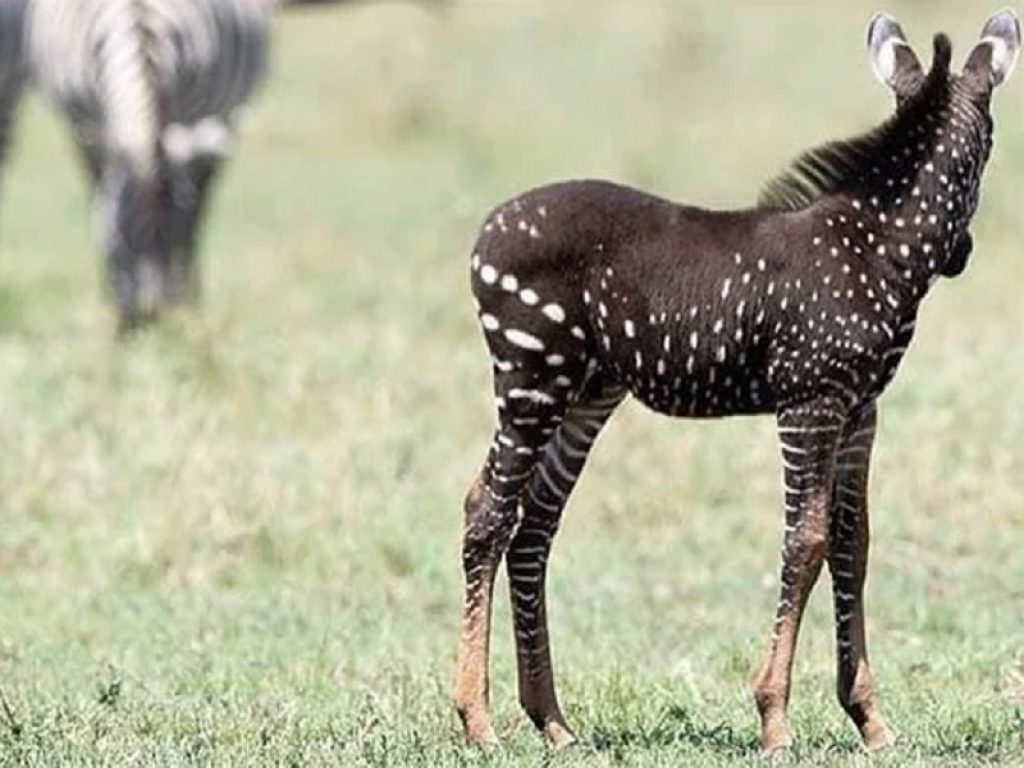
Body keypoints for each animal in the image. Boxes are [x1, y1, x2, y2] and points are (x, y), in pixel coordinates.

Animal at [26, 0, 272, 330]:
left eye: (174, 240)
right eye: (117, 240)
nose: (149, 317)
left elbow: (190, 217)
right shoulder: (83, 122)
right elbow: (98, 196)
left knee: (202, 202)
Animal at [455, 10, 1020, 755]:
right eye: (986, 151)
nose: (963, 257)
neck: (877, 247)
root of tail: (486, 230)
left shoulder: (861, 408)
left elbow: (854, 543)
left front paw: (869, 719)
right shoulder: (811, 400)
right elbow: (806, 542)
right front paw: (775, 718)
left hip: (586, 393)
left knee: (534, 525)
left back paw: (552, 720)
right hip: (530, 378)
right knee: (486, 513)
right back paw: (478, 720)